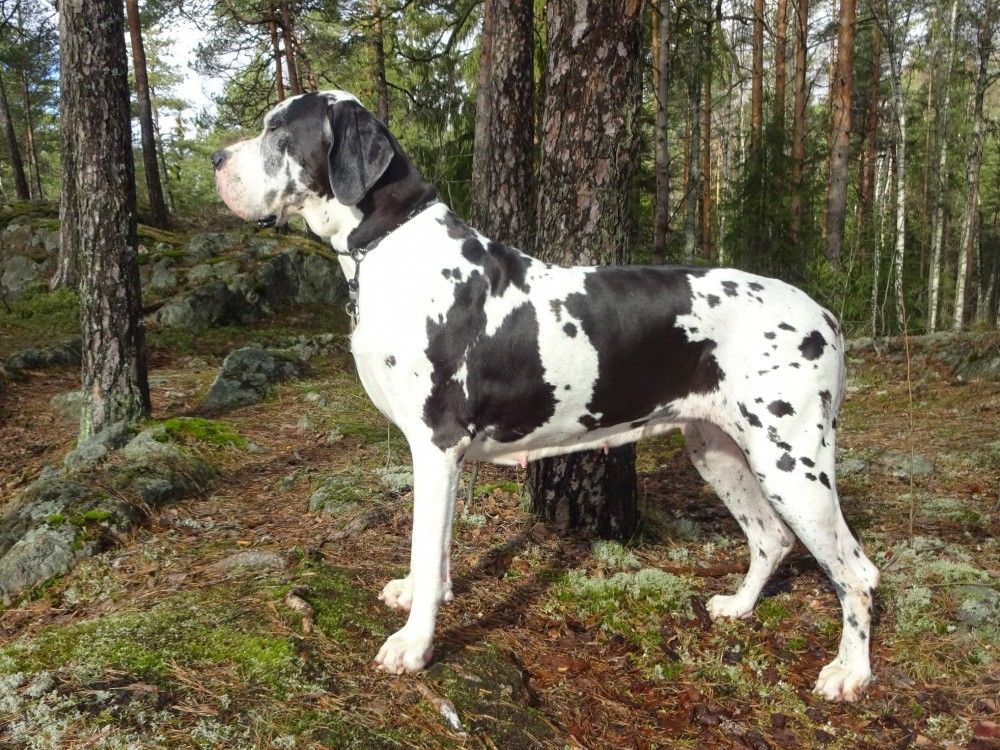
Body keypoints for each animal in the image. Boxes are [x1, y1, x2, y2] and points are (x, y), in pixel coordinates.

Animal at [212, 90, 880, 702]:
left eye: (278, 132)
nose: (216, 158)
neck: (395, 246)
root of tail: (824, 312)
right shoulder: (444, 458)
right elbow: (440, 546)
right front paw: (426, 592)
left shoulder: (435, 444)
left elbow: (425, 544)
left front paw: (415, 643)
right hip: (718, 450)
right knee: (771, 537)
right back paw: (739, 607)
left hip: (792, 462)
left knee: (855, 572)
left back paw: (849, 672)